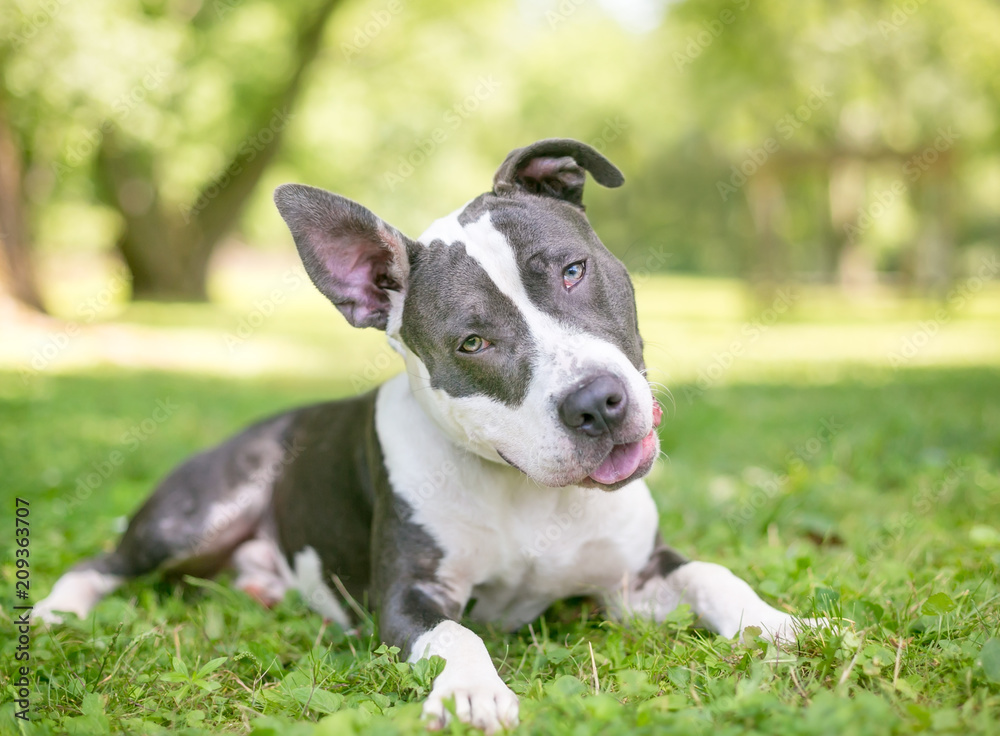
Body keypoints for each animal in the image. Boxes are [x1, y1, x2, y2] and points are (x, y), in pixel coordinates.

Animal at [35, 138, 824, 732]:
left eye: (574, 271)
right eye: (472, 342)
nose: (598, 404)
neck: (529, 491)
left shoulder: (632, 581)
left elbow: (713, 574)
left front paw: (783, 625)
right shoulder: (409, 599)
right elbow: (457, 632)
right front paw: (474, 691)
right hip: (199, 510)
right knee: (103, 561)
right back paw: (52, 613)